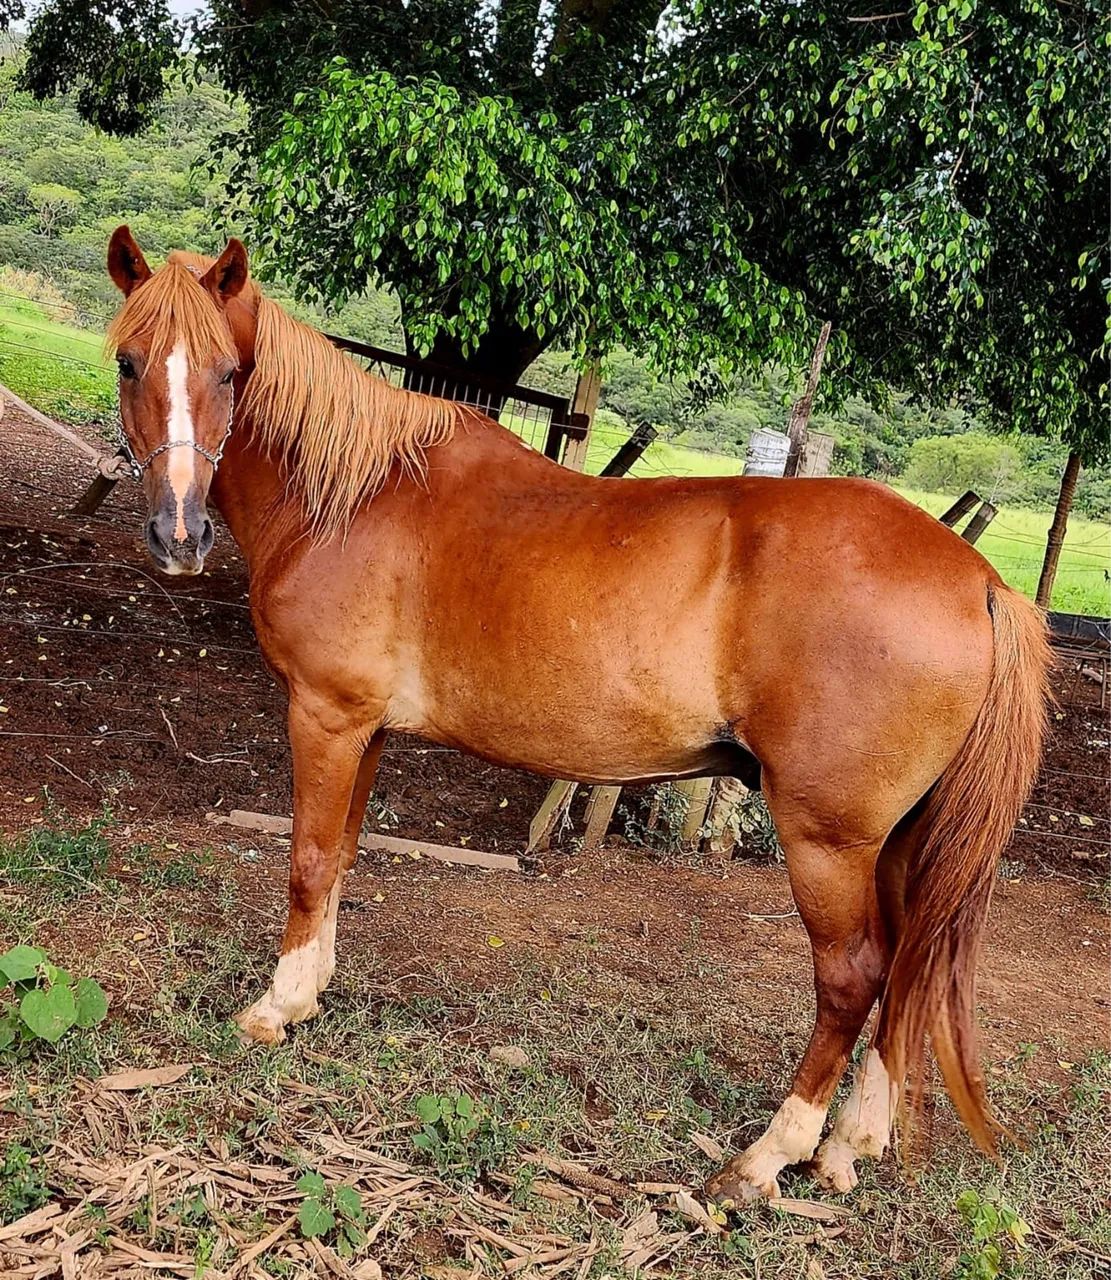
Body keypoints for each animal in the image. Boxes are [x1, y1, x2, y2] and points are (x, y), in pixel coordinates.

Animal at [103, 226, 1051, 1205]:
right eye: (129, 362)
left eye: (227, 371)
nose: (178, 534)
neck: (354, 494)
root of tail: (981, 582)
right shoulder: (367, 731)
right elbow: (342, 858)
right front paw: (312, 990)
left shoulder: (326, 717)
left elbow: (308, 860)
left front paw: (274, 1007)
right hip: (901, 841)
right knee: (906, 971)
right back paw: (848, 1146)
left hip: (828, 841)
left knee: (853, 977)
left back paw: (766, 1159)